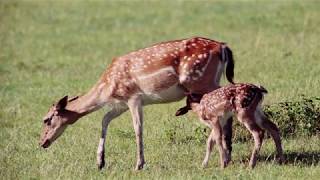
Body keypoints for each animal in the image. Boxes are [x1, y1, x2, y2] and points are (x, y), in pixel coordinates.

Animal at [39, 37, 235, 170]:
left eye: (46, 119)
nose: (41, 142)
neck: (106, 88)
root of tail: (223, 47)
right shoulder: (121, 104)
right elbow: (104, 120)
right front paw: (100, 162)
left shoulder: (133, 97)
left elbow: (137, 128)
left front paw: (139, 164)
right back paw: (228, 156)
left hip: (202, 81)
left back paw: (224, 158)